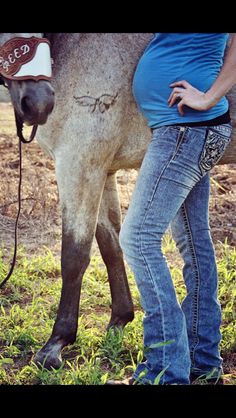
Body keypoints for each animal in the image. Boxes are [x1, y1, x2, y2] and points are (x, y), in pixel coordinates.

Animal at [1, 31, 236, 370]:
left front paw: (56, 343)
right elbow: (110, 245)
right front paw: (119, 320)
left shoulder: (79, 164)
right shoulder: (101, 169)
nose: (38, 102)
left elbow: (74, 255)